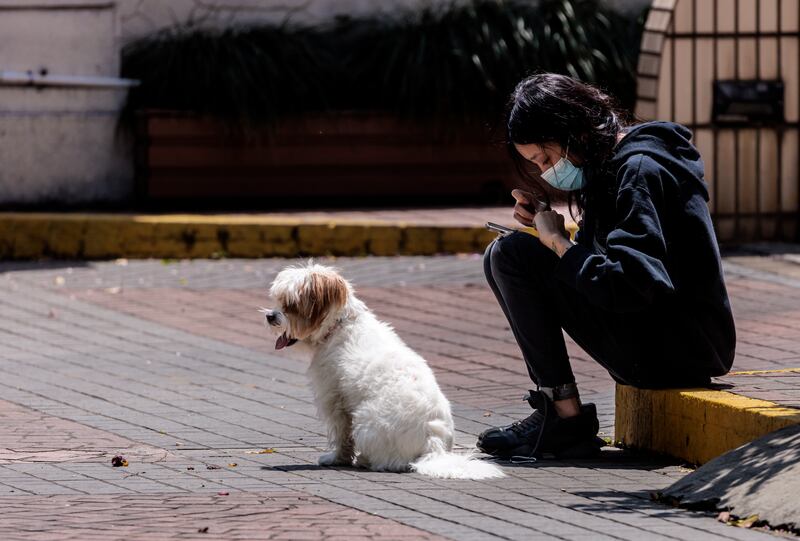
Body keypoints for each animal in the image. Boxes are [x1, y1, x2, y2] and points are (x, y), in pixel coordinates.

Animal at [266, 264, 504, 478]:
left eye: (290, 304)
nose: (270, 316)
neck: (340, 326)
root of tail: (432, 444)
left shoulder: (334, 399)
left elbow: (341, 435)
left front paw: (336, 458)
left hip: (364, 419)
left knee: (387, 461)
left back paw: (365, 460)